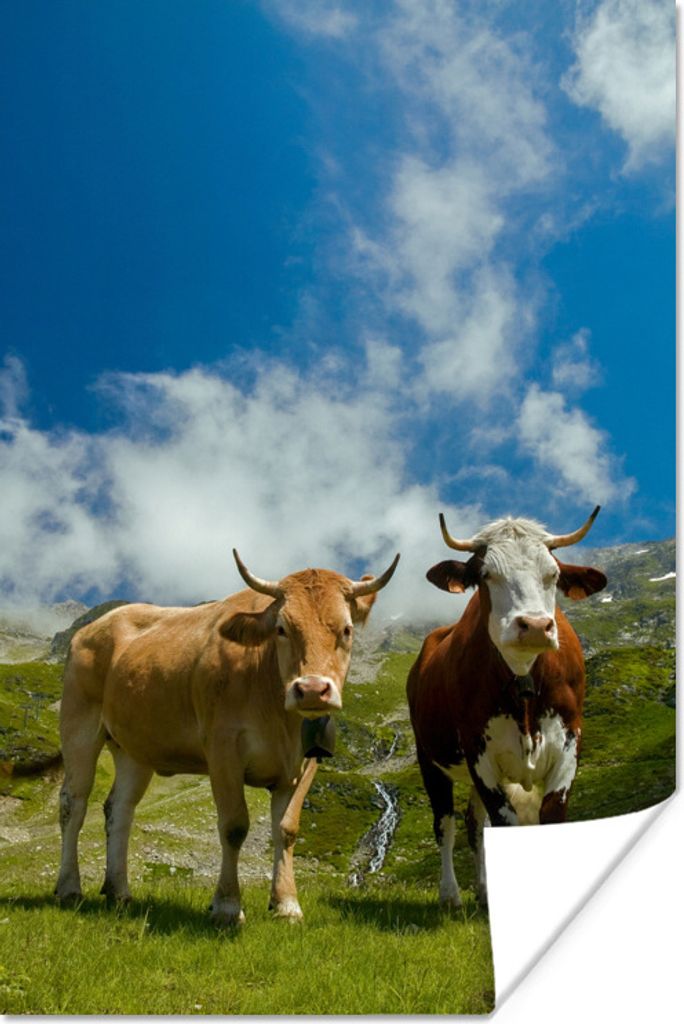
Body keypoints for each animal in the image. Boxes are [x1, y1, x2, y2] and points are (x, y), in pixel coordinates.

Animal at [55, 549, 399, 925]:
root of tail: (94, 627)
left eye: (347, 629)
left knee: (119, 810)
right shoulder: (222, 750)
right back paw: (69, 887)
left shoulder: (305, 764)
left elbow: (287, 830)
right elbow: (234, 827)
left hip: (134, 748)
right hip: (79, 725)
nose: (311, 690)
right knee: (73, 803)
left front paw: (286, 903)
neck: (279, 714)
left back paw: (119, 891)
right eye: (282, 629)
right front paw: (227, 906)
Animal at [407, 508, 606, 909]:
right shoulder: (479, 754)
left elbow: (549, 818)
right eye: (486, 575)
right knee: (446, 824)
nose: (535, 625)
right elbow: (505, 823)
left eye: (554, 574)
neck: (523, 679)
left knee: (474, 826)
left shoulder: (569, 743)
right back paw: (451, 895)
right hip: (429, 759)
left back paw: (484, 891)